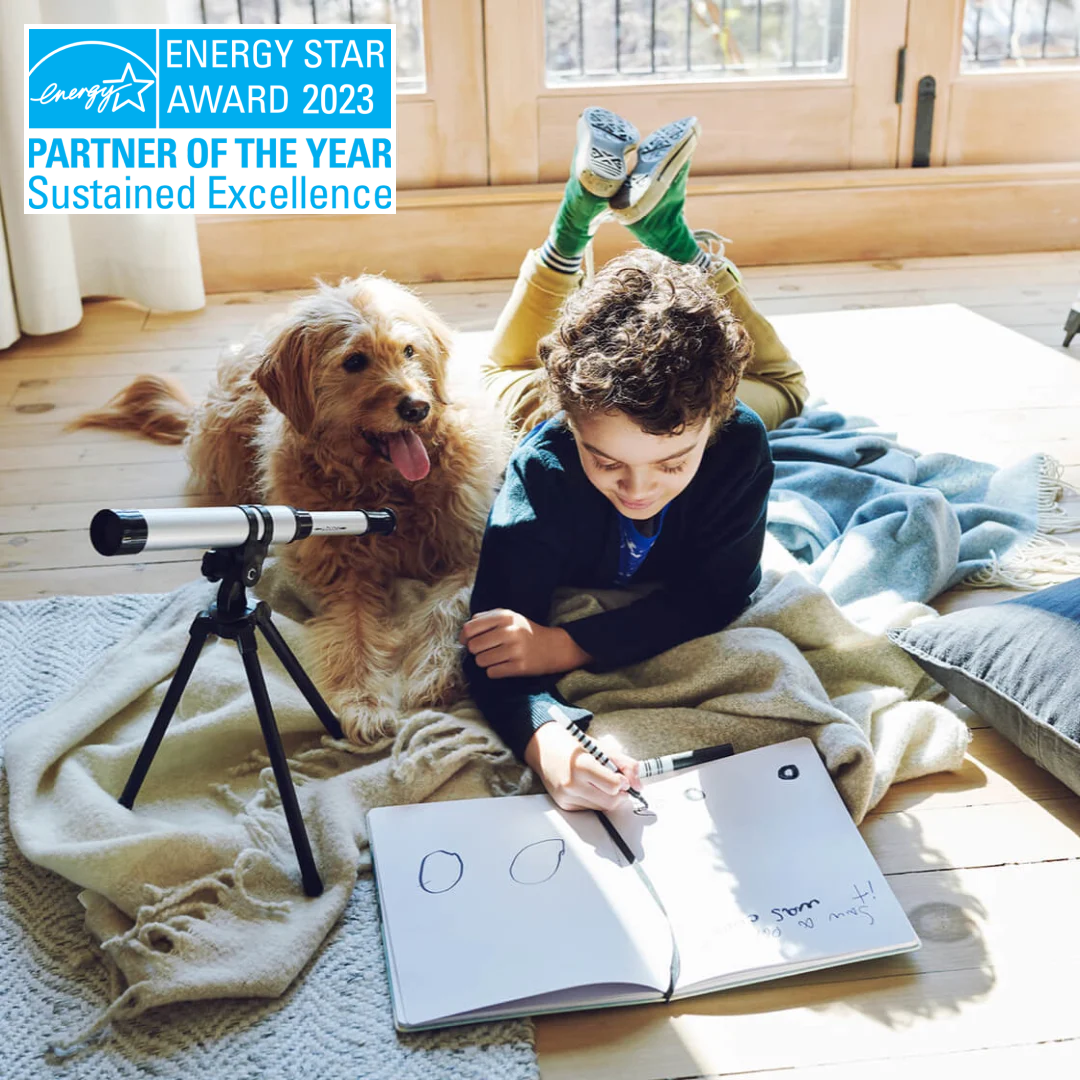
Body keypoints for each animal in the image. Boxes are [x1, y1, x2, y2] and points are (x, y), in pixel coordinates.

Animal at [76, 274, 505, 747]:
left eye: (409, 351)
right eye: (354, 361)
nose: (417, 407)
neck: (388, 488)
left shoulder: (470, 550)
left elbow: (446, 607)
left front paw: (432, 672)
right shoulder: (344, 572)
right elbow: (352, 630)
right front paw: (363, 702)